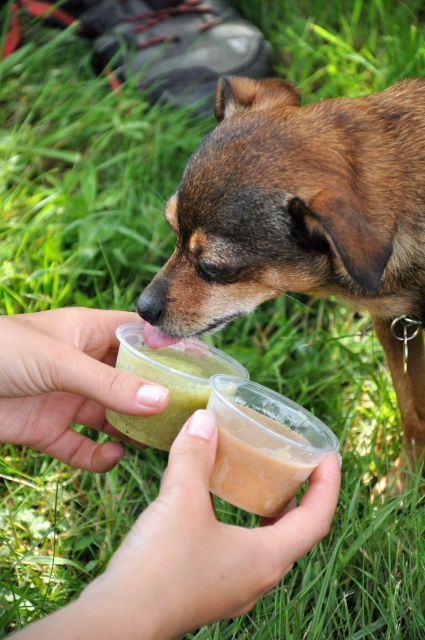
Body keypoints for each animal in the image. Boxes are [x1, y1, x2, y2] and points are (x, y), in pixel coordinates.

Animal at [136, 76, 424, 484]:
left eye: (214, 268)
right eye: (172, 230)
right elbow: (413, 411)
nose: (142, 308)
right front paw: (405, 482)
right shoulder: (397, 328)